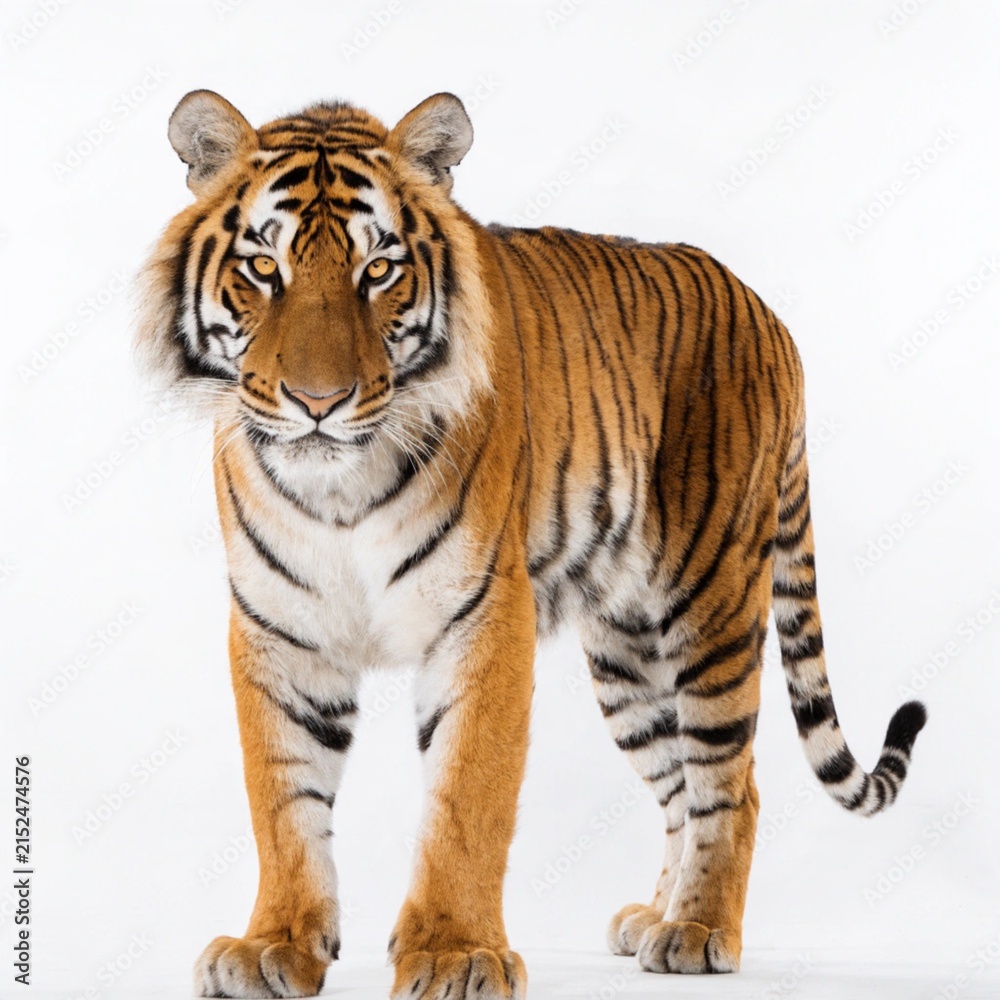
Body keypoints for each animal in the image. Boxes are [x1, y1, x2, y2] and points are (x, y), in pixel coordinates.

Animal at [135, 89, 927, 999]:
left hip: (712, 605)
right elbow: (282, 800)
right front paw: (275, 945)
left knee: (731, 780)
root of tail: (768, 313)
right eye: (264, 269)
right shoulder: (278, 627)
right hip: (627, 655)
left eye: (379, 271)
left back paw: (697, 931)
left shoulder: (482, 615)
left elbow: (467, 797)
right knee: (678, 785)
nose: (318, 401)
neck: (339, 490)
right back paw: (653, 918)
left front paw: (454, 954)